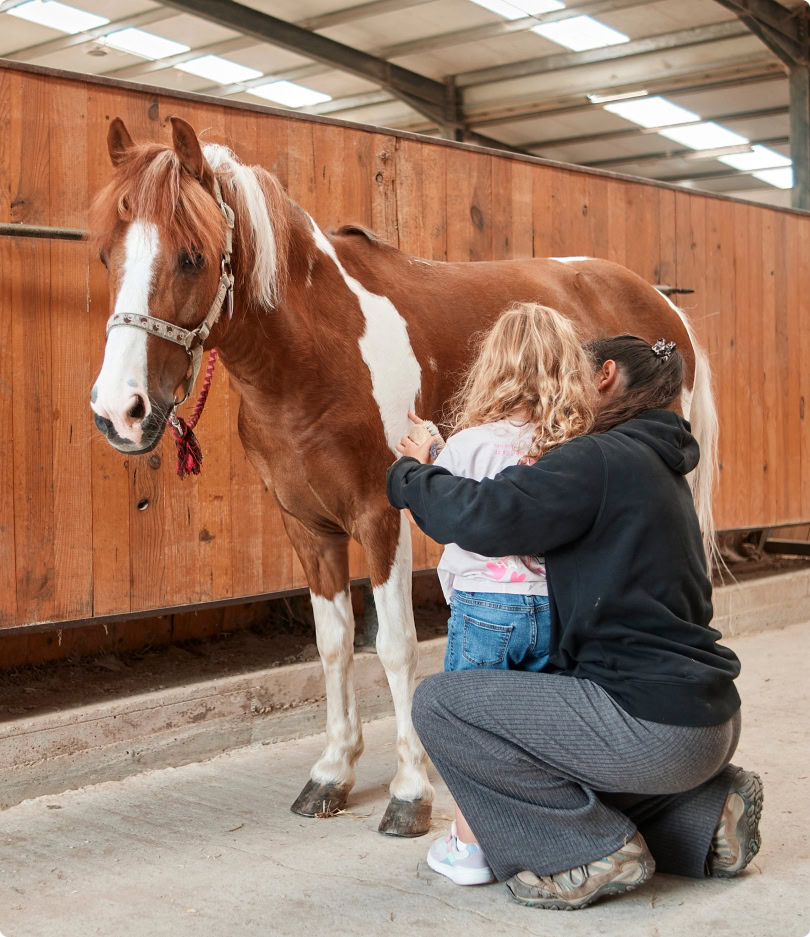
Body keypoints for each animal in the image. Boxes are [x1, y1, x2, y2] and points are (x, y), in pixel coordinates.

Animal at [89, 116, 718, 838]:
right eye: (106, 255)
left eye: (192, 256)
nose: (120, 412)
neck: (316, 351)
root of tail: (661, 305)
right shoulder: (308, 527)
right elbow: (333, 644)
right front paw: (332, 773)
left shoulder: (378, 515)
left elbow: (393, 646)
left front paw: (410, 790)